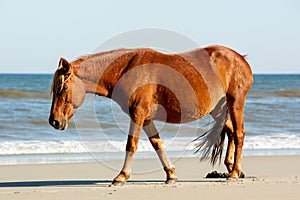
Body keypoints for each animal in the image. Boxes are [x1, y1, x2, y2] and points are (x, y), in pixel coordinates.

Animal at [49, 45, 253, 184]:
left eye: (63, 87)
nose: (54, 121)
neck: (127, 70)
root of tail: (240, 58)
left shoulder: (137, 114)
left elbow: (131, 144)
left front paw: (121, 176)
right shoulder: (146, 118)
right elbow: (157, 144)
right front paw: (170, 174)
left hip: (235, 102)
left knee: (239, 133)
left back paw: (234, 172)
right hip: (218, 110)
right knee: (231, 132)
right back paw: (232, 167)